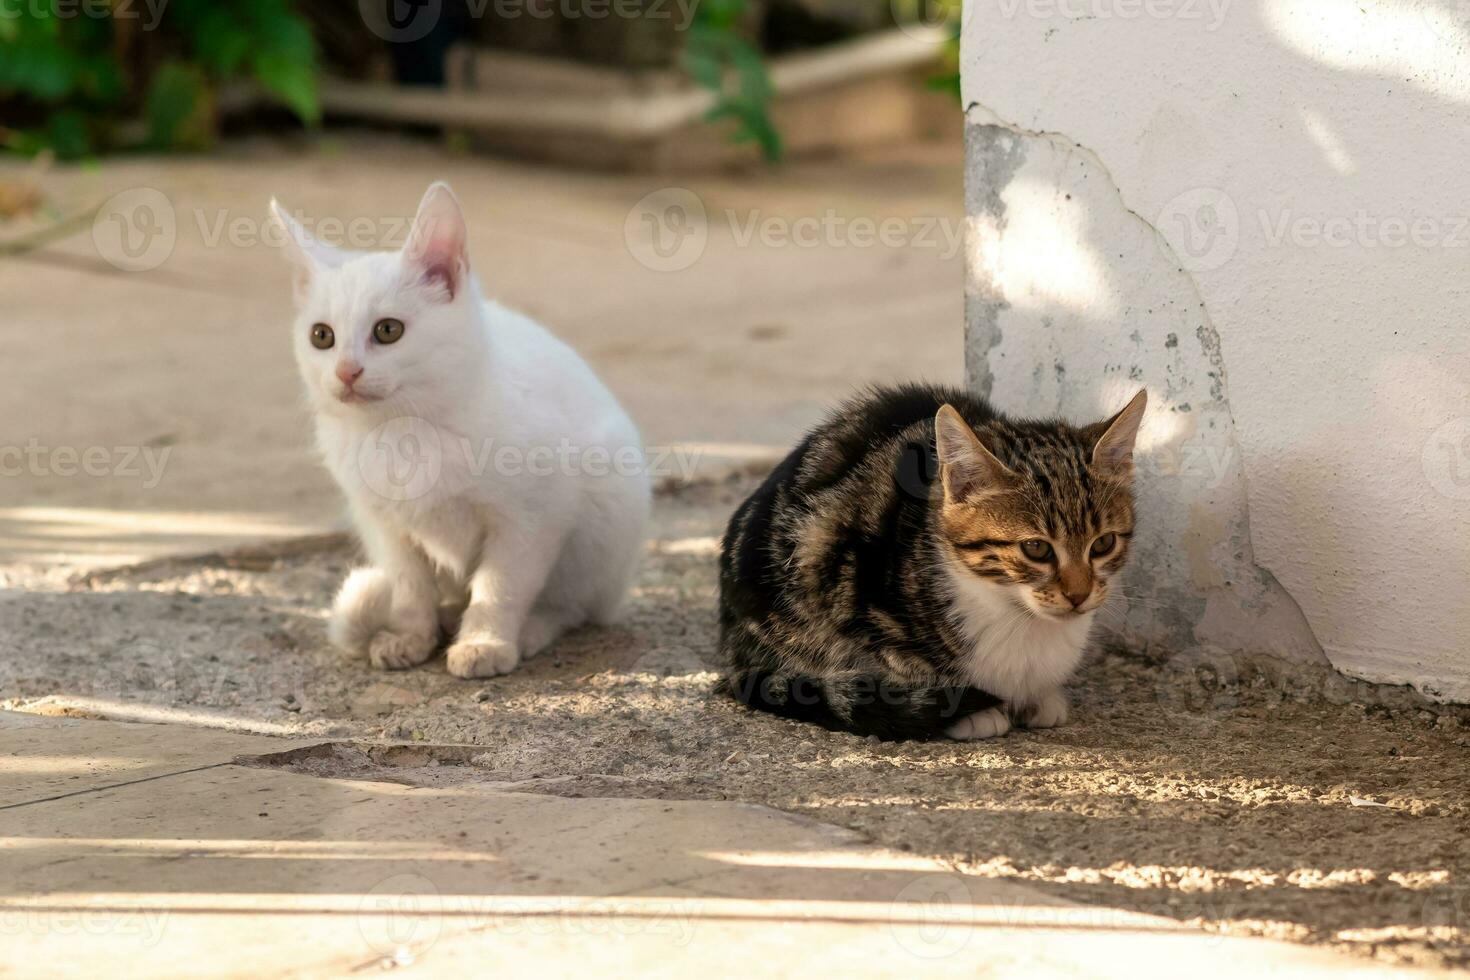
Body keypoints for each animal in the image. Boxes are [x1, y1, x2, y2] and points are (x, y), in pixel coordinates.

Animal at [270, 182, 649, 675]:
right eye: (321, 336)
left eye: (388, 330)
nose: (346, 371)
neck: (404, 433)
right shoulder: (383, 524)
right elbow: (409, 585)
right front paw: (411, 636)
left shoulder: (534, 517)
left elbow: (501, 585)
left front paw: (485, 643)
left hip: (608, 506)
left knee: (576, 605)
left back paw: (531, 628)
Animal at [717, 387, 1140, 740]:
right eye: (1036, 548)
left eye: (1103, 543)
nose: (1078, 595)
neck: (1014, 614)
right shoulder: (857, 596)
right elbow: (897, 665)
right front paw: (969, 711)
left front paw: (1040, 697)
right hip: (803, 556)